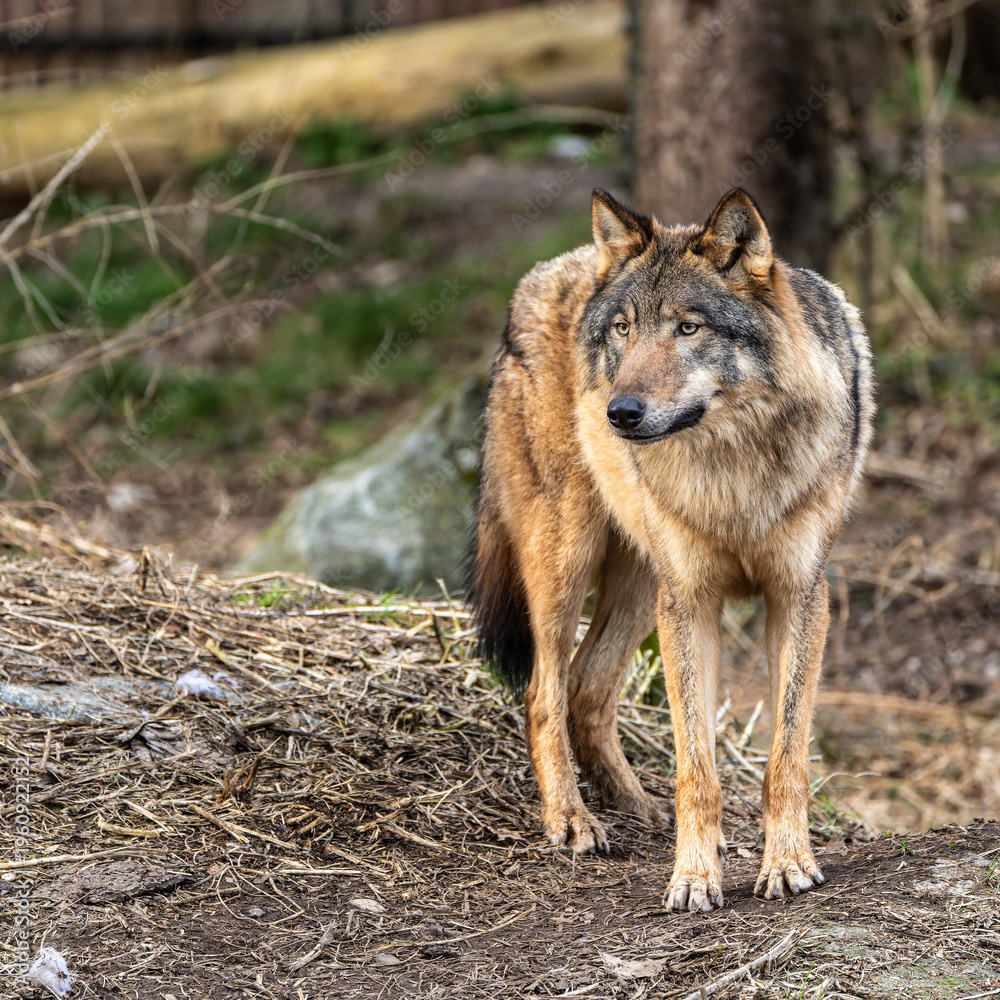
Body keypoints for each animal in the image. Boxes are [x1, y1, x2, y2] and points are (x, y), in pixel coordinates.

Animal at [468, 187, 874, 911]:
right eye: (623, 329)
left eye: (688, 328)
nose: (620, 413)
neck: (732, 472)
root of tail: (538, 276)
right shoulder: (691, 600)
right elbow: (697, 767)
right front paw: (693, 876)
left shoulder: (798, 595)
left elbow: (786, 756)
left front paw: (788, 863)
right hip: (569, 563)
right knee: (543, 693)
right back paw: (571, 819)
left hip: (638, 586)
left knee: (587, 690)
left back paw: (635, 807)